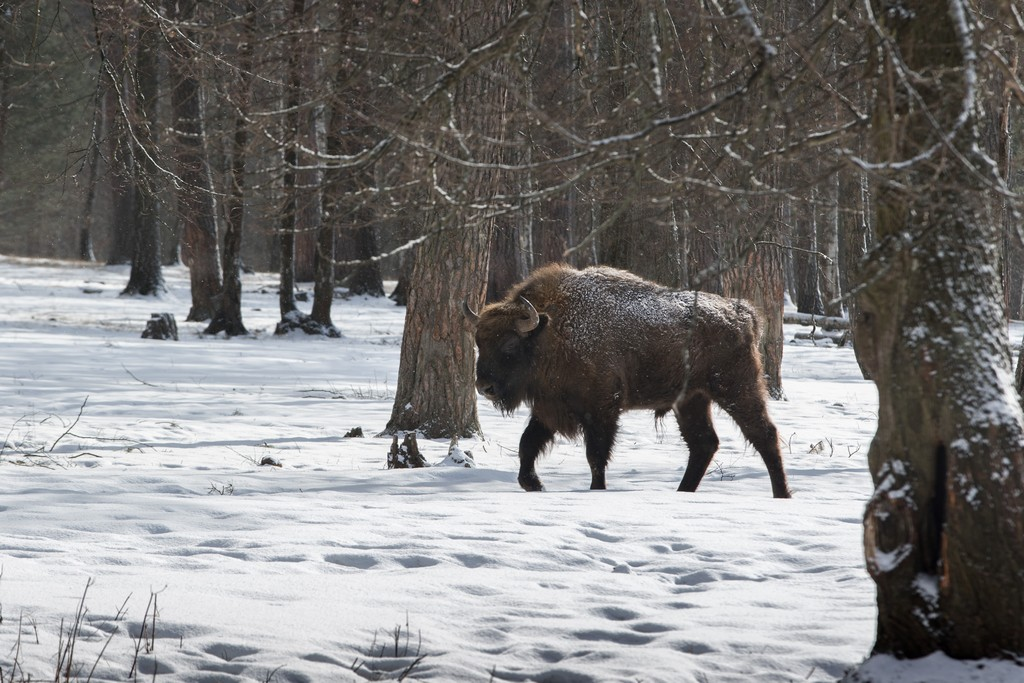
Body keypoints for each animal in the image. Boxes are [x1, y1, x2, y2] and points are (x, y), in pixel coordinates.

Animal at [464, 264, 790, 499]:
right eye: (479, 342)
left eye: (509, 346)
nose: (484, 387)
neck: (551, 330)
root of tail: (742, 312)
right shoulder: (549, 409)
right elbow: (527, 444)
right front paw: (534, 484)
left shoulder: (601, 411)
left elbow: (595, 456)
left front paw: (596, 490)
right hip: (691, 400)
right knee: (704, 443)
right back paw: (683, 492)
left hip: (736, 388)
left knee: (763, 434)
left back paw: (782, 494)